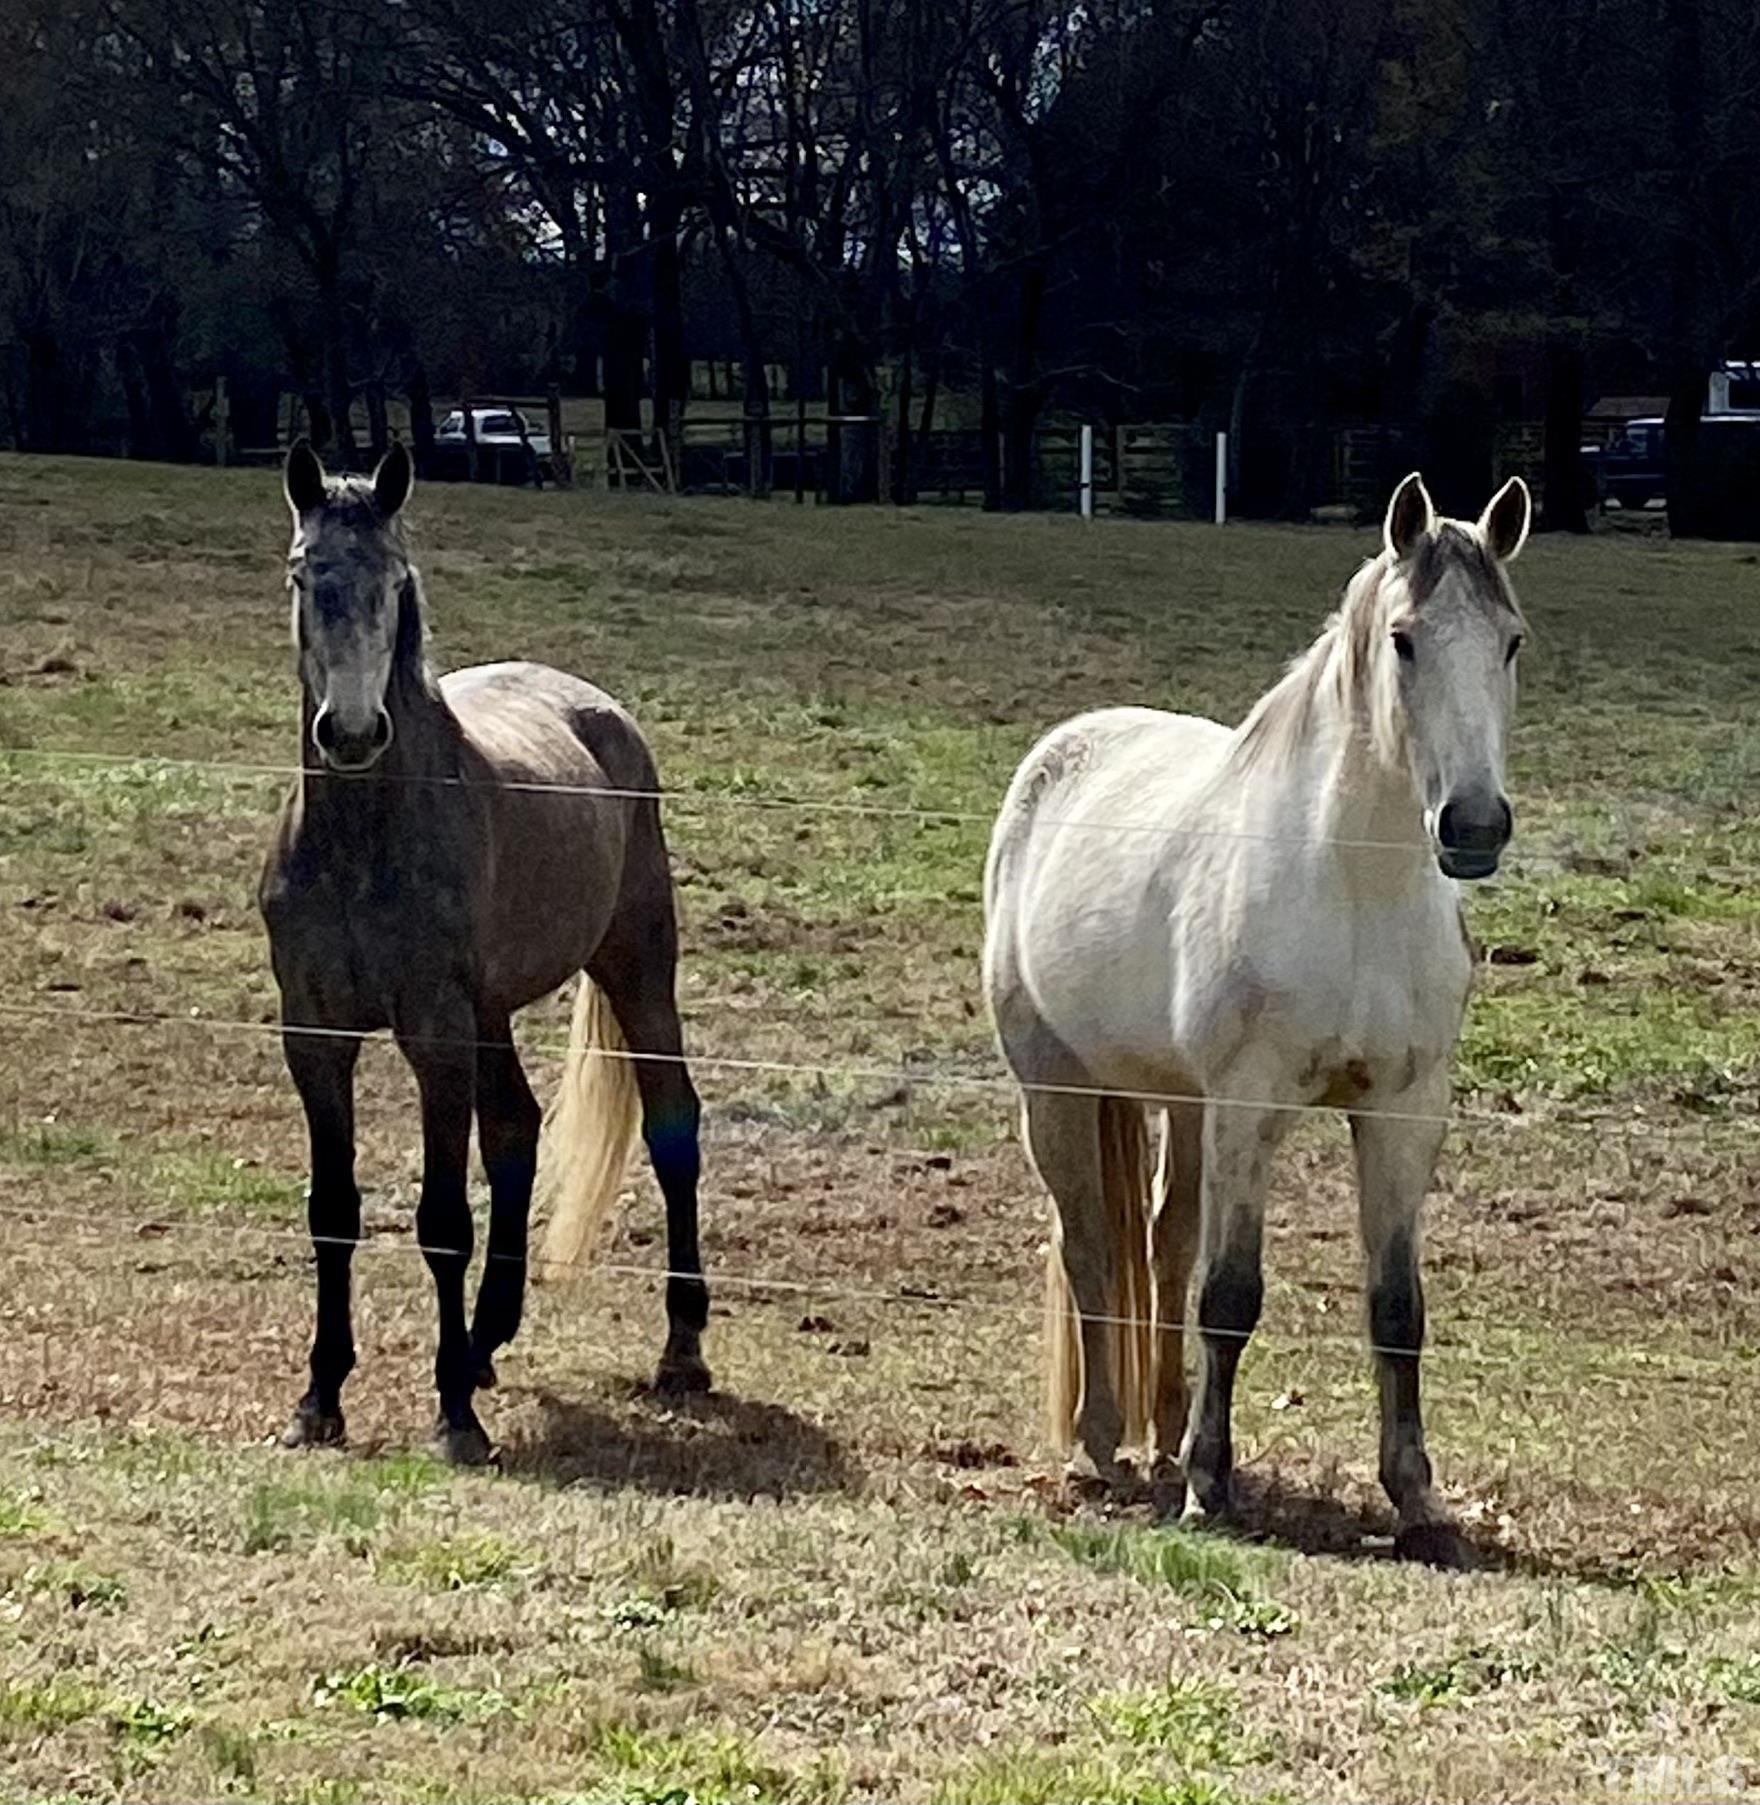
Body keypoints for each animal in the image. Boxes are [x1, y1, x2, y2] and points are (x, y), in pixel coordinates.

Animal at [259, 440, 707, 1465]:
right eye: (305, 572)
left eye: (394, 581)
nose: (351, 732)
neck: (365, 837)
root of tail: (598, 709)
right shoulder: (316, 1035)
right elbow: (332, 1212)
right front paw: (320, 1398)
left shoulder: (435, 1035)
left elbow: (440, 1222)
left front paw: (454, 1418)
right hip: (493, 1012)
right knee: (515, 1131)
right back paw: (485, 1339)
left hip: (636, 970)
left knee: (674, 1125)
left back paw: (682, 1349)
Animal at [981, 472, 1537, 1559]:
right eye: (1403, 639)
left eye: (1510, 639)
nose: (1473, 826)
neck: (1354, 887)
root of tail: (1060, 754)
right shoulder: (1250, 1105)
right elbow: (1228, 1294)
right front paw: (1210, 1484)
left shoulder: (1403, 1112)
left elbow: (1395, 1305)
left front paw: (1416, 1498)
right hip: (1057, 1090)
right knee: (1089, 1248)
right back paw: (1101, 1446)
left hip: (1179, 1105)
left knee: (1157, 1239)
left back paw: (1158, 1431)